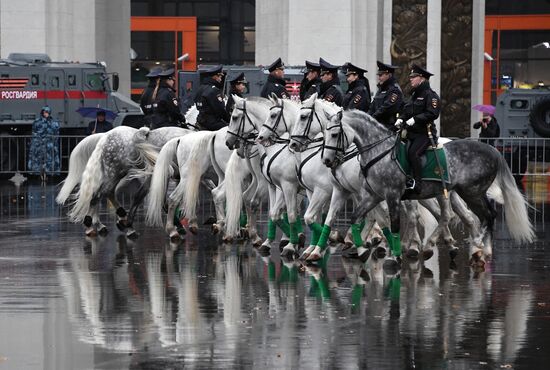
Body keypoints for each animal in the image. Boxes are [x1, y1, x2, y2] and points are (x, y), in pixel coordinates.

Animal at [320, 105, 536, 268]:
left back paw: (473, 246)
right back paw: (482, 251)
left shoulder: (392, 195)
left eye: (335, 134)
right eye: (324, 133)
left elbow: (394, 224)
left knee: (479, 215)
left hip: (471, 192)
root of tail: (492, 149)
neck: (379, 151)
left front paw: (394, 256)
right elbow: (356, 217)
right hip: (469, 193)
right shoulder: (373, 196)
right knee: (484, 215)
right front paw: (360, 249)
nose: (327, 161)